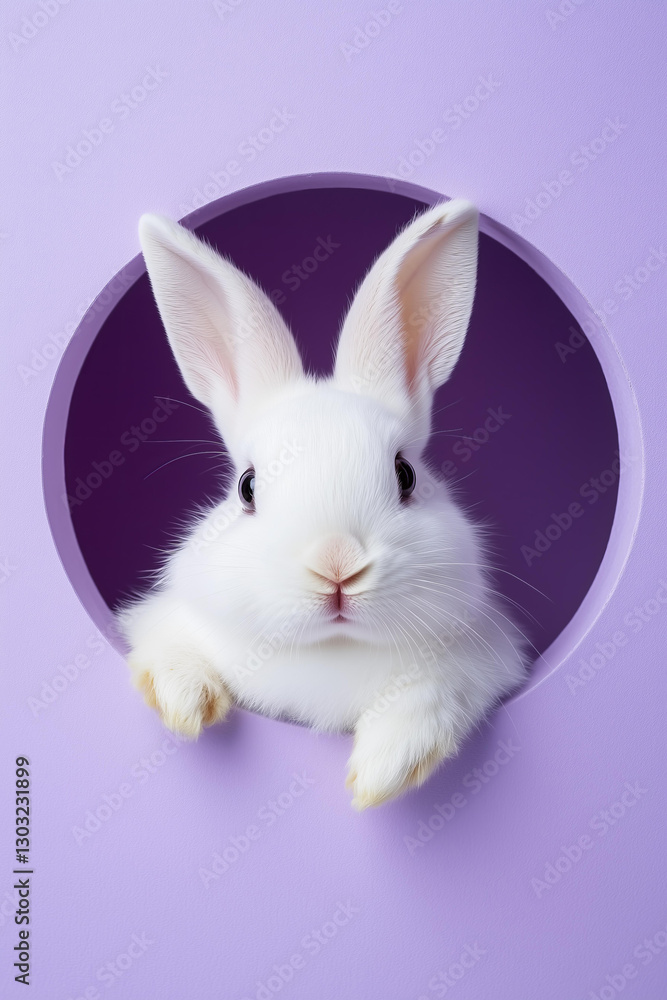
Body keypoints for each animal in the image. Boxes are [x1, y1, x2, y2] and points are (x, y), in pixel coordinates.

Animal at [118, 198, 528, 810]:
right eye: (247, 487)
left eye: (406, 475)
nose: (337, 566)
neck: (331, 649)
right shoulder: (160, 620)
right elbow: (168, 645)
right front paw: (187, 703)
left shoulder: (480, 661)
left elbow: (429, 694)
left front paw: (383, 772)